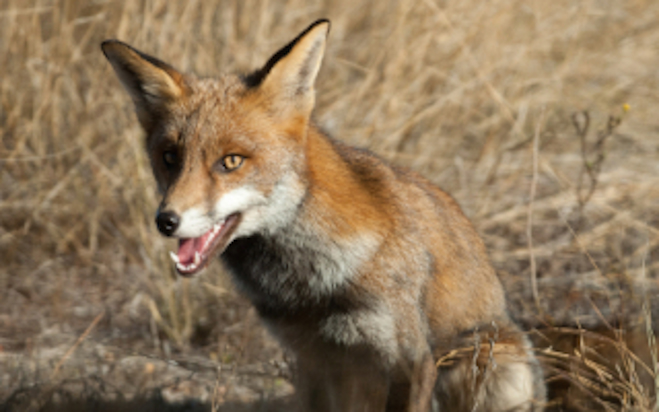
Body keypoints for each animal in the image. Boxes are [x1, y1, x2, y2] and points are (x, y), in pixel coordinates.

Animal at [101, 19, 545, 412]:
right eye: (170, 158)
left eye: (231, 161)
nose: (166, 221)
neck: (310, 285)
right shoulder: (313, 360)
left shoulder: (411, 359)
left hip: (497, 370)